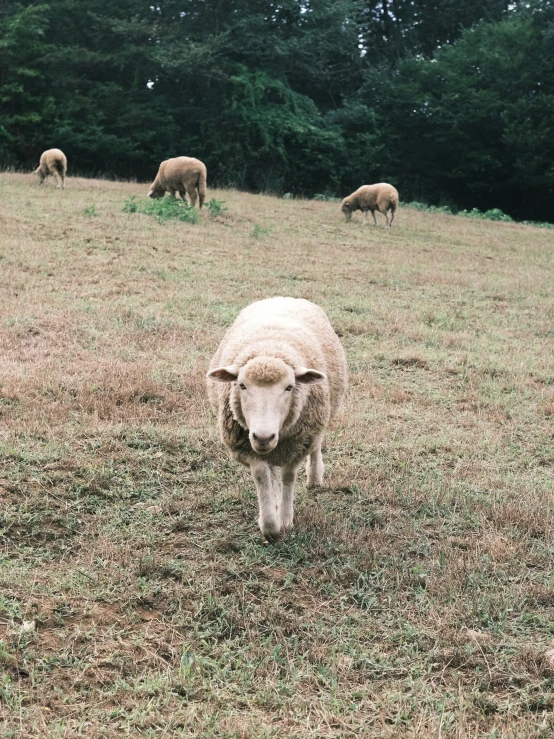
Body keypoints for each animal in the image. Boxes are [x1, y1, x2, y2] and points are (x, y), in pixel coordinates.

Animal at [207, 294, 344, 544]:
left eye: (289, 387)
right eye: (241, 385)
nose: (264, 437)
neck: (270, 347)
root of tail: (284, 297)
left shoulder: (298, 442)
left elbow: (288, 477)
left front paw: (286, 519)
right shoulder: (248, 447)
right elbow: (263, 476)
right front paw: (270, 525)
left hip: (320, 418)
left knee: (316, 446)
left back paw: (314, 476)